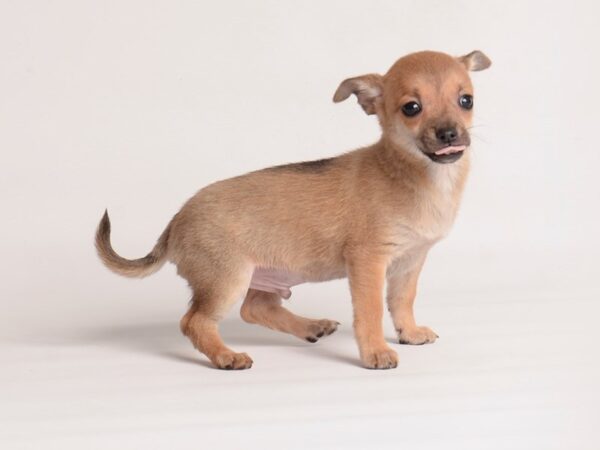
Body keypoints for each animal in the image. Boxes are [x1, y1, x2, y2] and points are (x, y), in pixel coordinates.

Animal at [96, 51, 492, 370]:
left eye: (466, 100)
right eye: (411, 108)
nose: (449, 133)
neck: (418, 176)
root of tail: (175, 221)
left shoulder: (410, 261)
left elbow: (402, 301)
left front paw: (409, 332)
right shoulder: (368, 261)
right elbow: (371, 310)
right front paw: (376, 352)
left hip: (268, 276)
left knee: (255, 309)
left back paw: (310, 326)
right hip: (226, 279)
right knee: (195, 321)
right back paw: (226, 356)